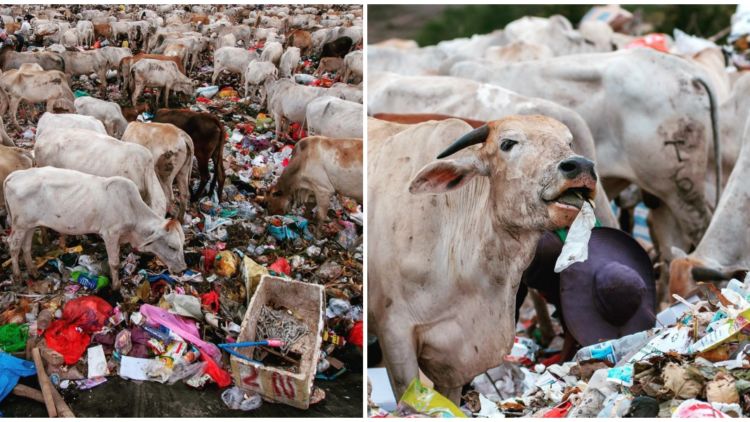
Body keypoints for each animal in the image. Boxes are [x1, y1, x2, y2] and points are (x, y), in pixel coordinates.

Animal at [4, 166, 187, 290]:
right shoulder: (110, 234)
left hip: (30, 225)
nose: (183, 268)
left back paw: (33, 271)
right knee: (13, 245)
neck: (132, 209)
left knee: (26, 246)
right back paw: (18, 276)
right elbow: (114, 262)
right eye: (172, 246)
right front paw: (116, 285)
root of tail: (15, 175)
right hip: (19, 225)